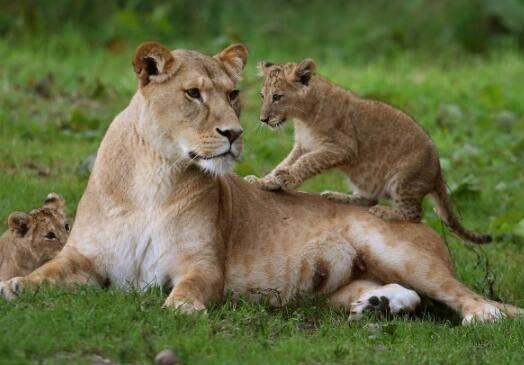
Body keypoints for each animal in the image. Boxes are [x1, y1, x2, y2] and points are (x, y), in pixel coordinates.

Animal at [1, 41, 520, 322]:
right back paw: (373, 306)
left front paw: (180, 309)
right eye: (193, 94)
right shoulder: (84, 258)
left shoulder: (202, 265)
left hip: (400, 250)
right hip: (347, 283)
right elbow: (43, 275)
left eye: (233, 94)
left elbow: (186, 291)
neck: (155, 174)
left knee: (462, 296)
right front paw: (13, 286)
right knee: (401, 295)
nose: (234, 133)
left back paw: (485, 317)